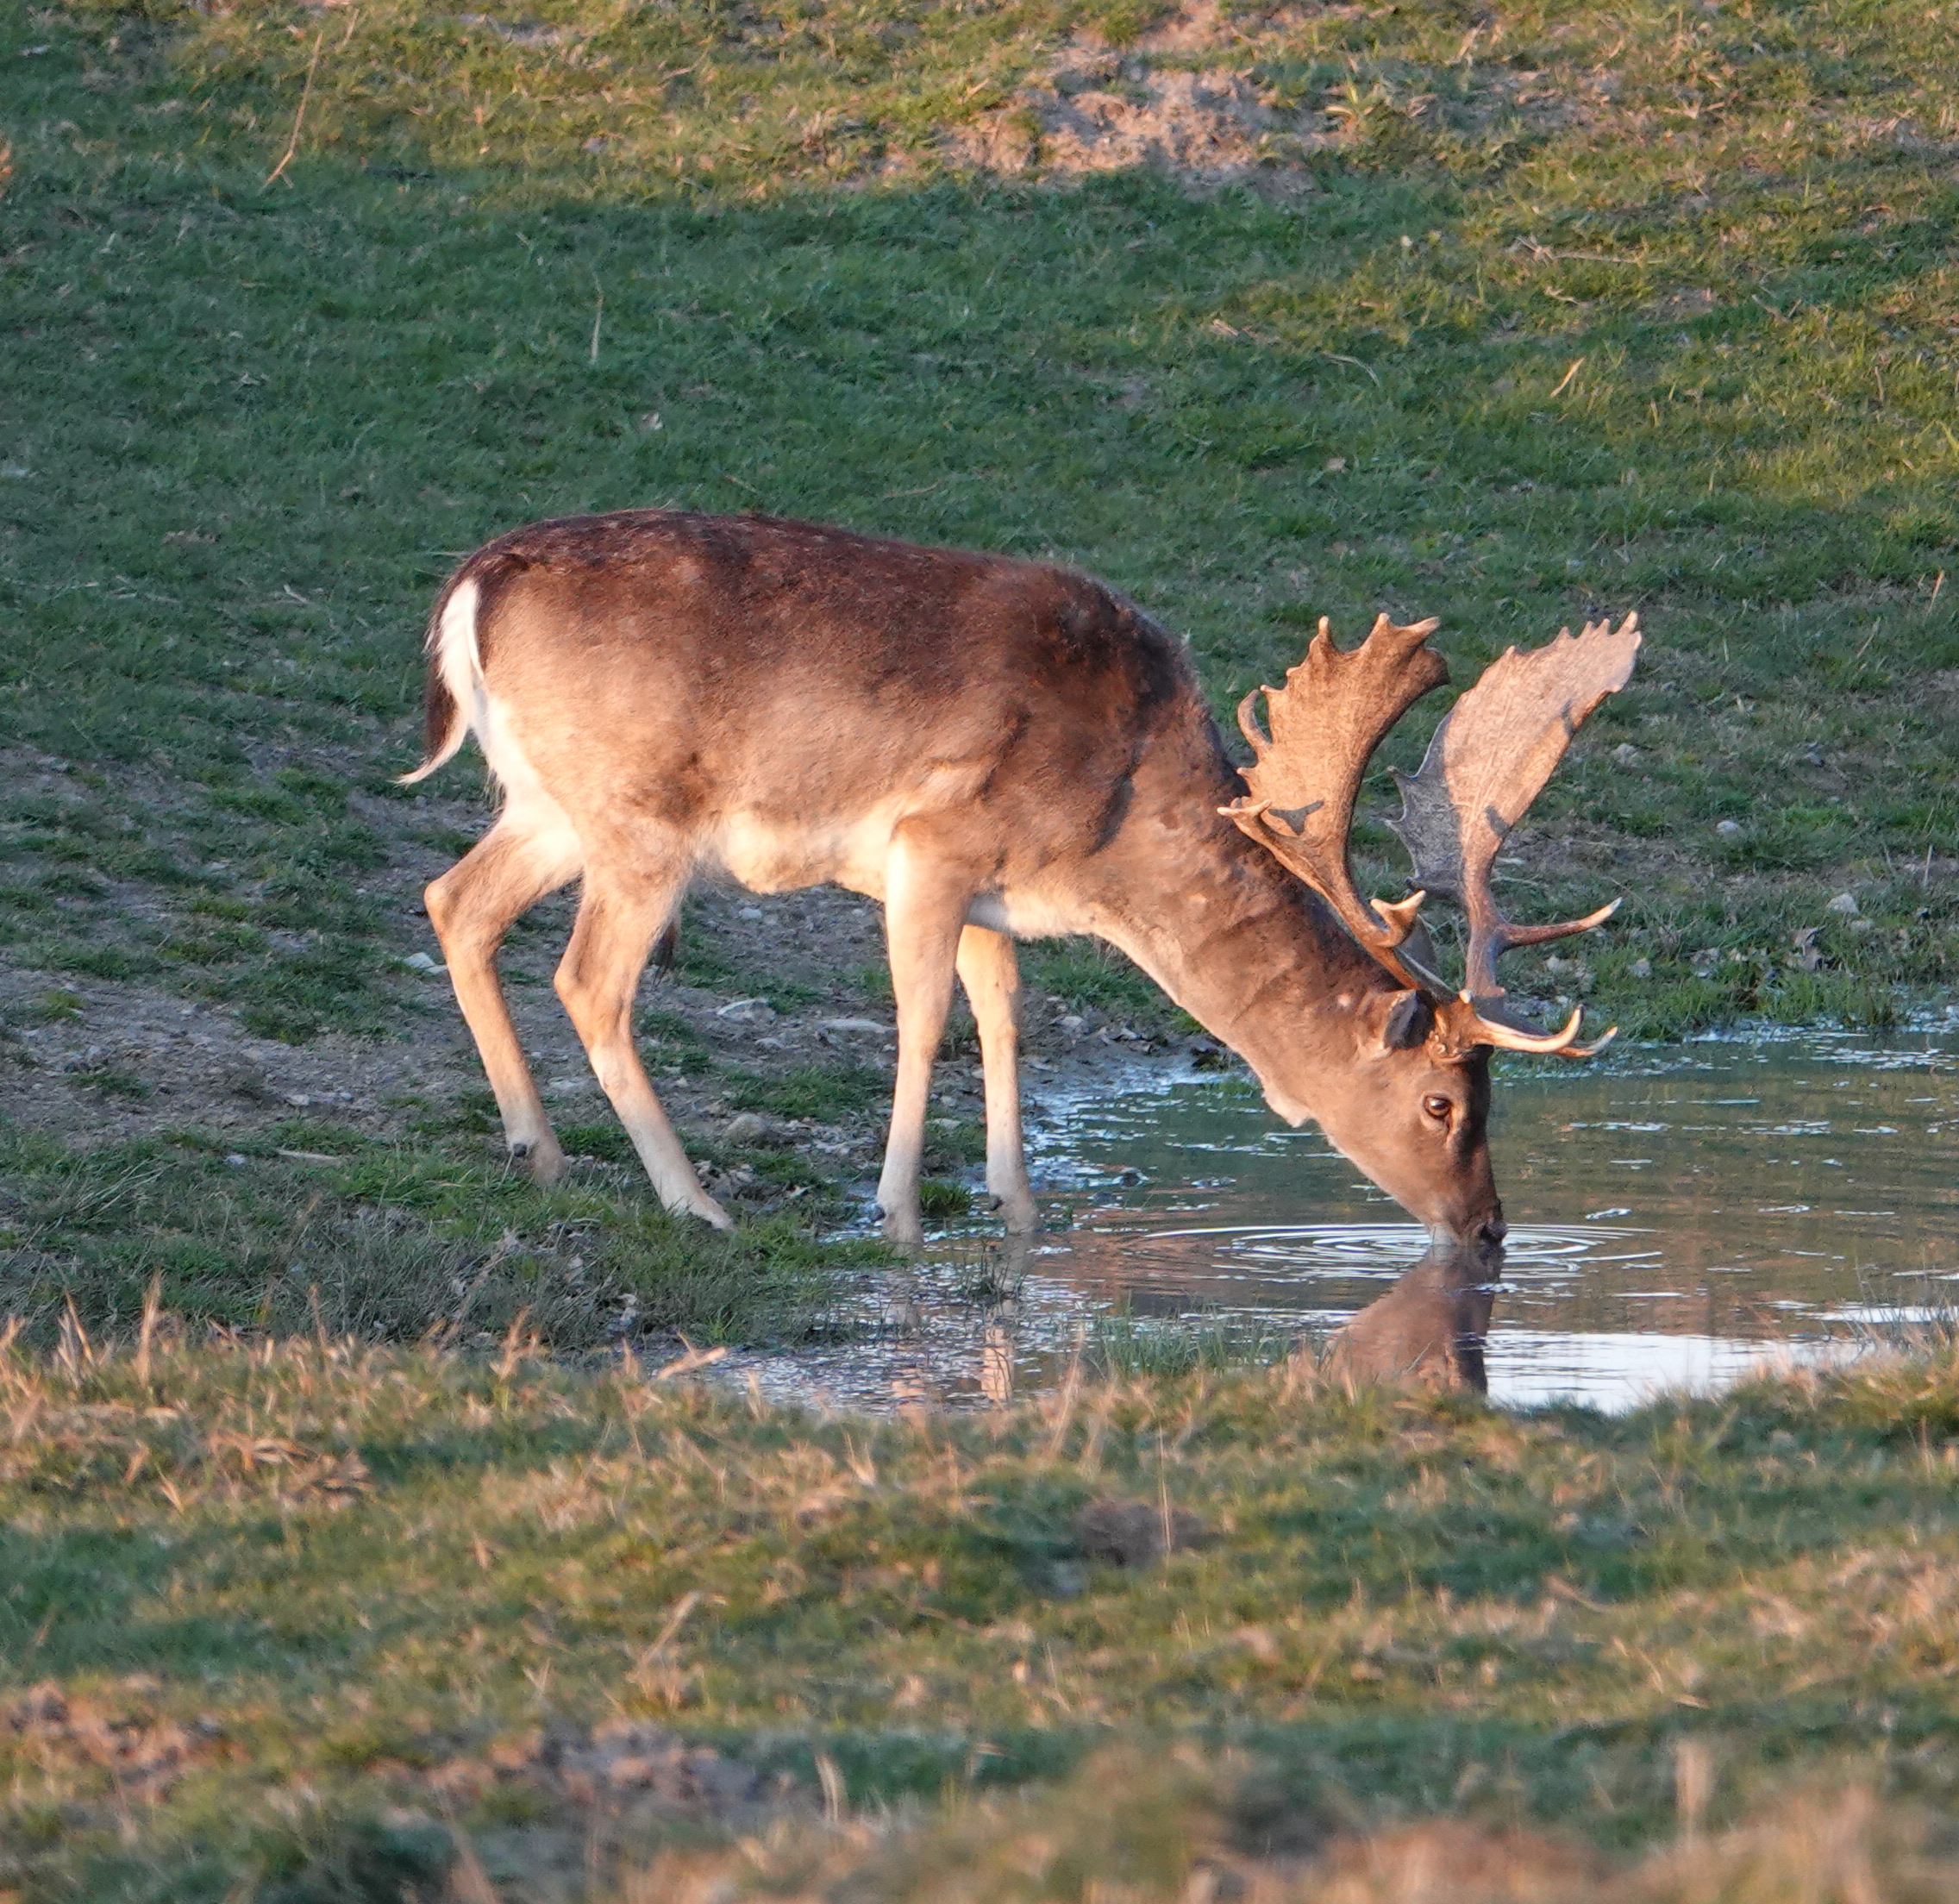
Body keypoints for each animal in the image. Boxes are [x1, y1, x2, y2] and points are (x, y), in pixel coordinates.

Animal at [402, 508, 1639, 1252]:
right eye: (1443, 1103)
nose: (1489, 1228)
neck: (1110, 842)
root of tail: (470, 591)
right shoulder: (931, 843)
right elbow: (921, 1018)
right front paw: (899, 1214)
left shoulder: (994, 892)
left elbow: (1002, 1015)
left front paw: (1021, 1209)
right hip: (640, 817)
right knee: (587, 979)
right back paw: (695, 1201)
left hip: (550, 805)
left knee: (453, 901)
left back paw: (539, 1154)